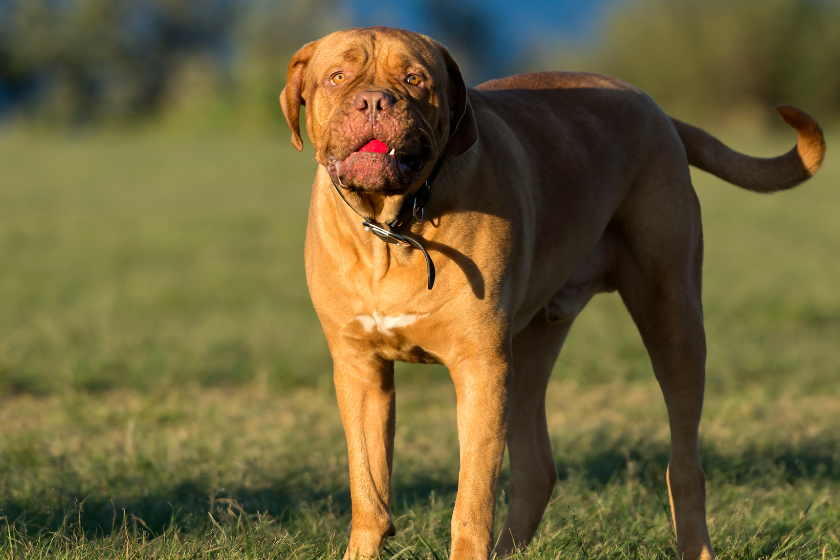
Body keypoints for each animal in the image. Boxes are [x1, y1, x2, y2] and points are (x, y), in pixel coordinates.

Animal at [278, 25, 824, 556]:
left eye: (414, 80)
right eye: (337, 77)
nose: (374, 101)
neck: (393, 231)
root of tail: (654, 108)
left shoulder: (481, 368)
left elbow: (471, 504)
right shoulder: (361, 370)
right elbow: (369, 492)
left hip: (673, 318)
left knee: (685, 465)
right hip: (530, 347)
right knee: (538, 470)